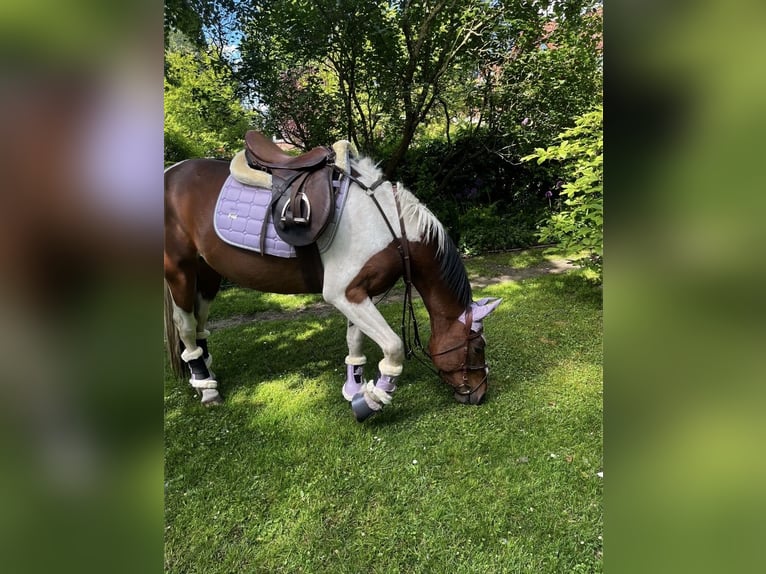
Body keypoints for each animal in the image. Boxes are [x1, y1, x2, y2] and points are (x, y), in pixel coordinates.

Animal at [164, 141, 502, 421]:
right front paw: (374, 400)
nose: (480, 393)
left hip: (208, 273)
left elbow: (355, 340)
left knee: (200, 325)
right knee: (186, 325)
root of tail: (169, 173)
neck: (391, 227)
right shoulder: (344, 293)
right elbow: (393, 346)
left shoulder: (360, 292)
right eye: (476, 347)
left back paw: (205, 374)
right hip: (179, 270)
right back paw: (206, 387)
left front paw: (354, 388)